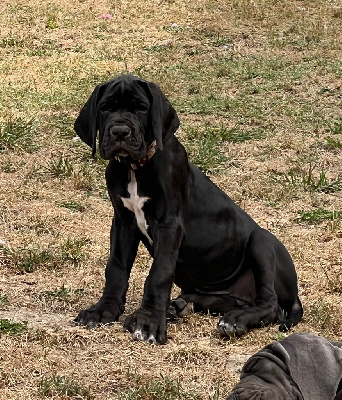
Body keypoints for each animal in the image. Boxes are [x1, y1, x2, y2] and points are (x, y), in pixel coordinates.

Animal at [74, 74, 302, 344]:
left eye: (141, 108)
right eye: (105, 107)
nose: (120, 131)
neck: (134, 168)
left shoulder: (169, 225)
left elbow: (159, 274)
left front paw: (149, 322)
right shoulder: (122, 223)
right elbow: (116, 268)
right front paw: (102, 310)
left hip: (261, 240)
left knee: (271, 304)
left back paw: (236, 320)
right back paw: (183, 305)